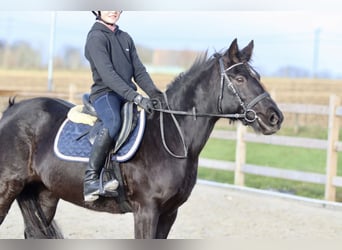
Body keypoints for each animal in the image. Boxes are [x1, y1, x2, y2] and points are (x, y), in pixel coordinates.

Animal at [0, 39, 284, 238]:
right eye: (240, 78)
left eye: (257, 77)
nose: (275, 117)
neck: (172, 137)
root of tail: (11, 111)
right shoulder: (147, 210)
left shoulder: (169, 213)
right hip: (7, 188)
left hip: (44, 194)